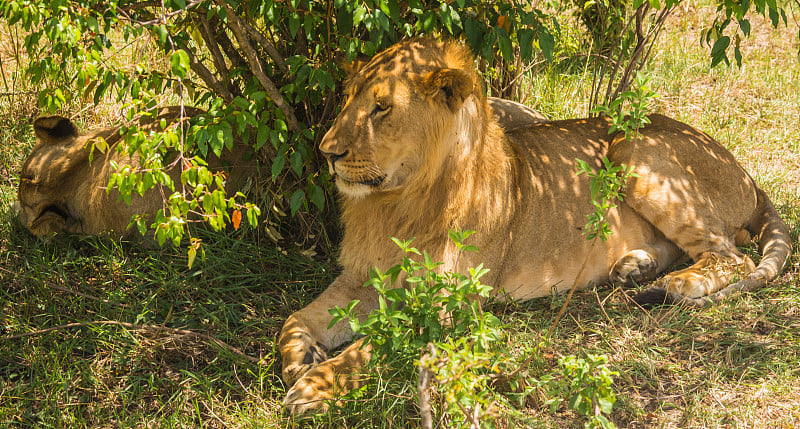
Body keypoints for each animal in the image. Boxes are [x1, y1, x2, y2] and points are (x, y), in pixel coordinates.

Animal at [278, 38, 792, 412]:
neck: (397, 202)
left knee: (733, 257)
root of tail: (744, 171)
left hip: (633, 149)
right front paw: (298, 359)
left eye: (381, 108)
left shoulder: (447, 305)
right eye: (349, 100)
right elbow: (296, 319)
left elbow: (369, 347)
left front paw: (315, 386)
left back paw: (676, 284)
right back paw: (635, 268)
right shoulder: (361, 277)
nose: (327, 151)